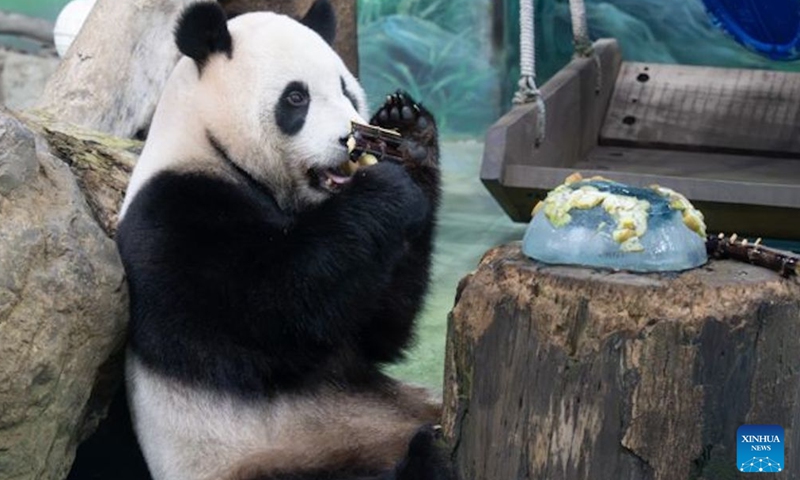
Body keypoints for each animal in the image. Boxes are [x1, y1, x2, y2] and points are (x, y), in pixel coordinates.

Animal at [115, 1, 452, 480]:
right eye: (296, 98)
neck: (213, 146)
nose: (347, 141)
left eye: (347, 91)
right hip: (275, 457)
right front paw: (386, 187)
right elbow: (272, 312)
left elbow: (377, 327)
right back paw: (425, 456)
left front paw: (409, 137)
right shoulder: (171, 215)